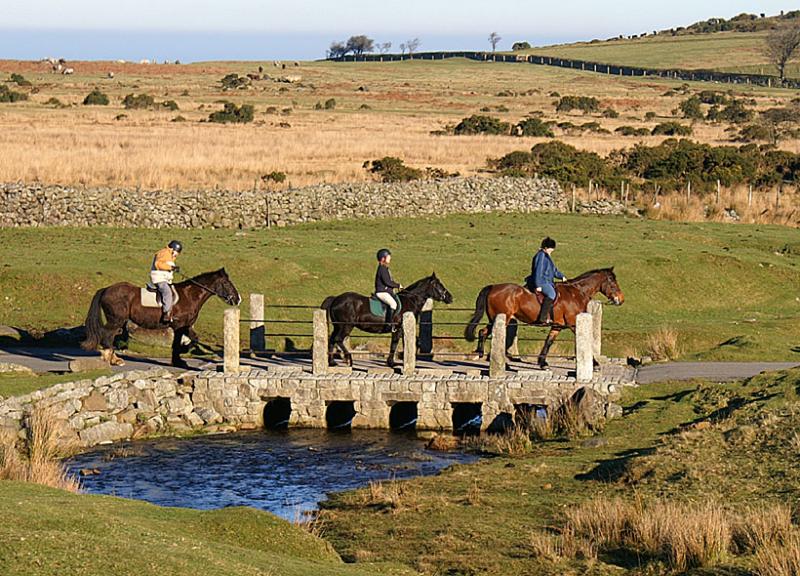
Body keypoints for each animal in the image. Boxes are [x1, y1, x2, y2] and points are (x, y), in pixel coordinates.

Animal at [83, 268, 244, 366]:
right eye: (226, 283)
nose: (238, 299)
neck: (189, 296)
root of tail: (106, 289)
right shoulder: (179, 326)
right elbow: (179, 343)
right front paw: (180, 357)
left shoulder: (185, 326)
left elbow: (192, 339)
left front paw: (180, 358)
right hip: (115, 320)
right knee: (107, 336)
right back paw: (111, 359)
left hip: (118, 321)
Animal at [320, 274, 456, 364]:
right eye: (439, 285)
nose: (450, 297)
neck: (410, 300)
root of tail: (336, 298)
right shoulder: (399, 328)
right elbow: (395, 344)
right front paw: (391, 362)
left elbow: (403, 343)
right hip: (346, 326)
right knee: (338, 339)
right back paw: (349, 359)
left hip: (338, 326)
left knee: (332, 340)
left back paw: (332, 362)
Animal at [462, 266, 624, 366]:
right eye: (613, 284)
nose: (621, 300)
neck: (576, 293)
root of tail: (493, 287)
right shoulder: (574, 324)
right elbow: (587, 341)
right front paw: (595, 363)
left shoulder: (557, 326)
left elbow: (548, 342)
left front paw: (542, 362)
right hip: (502, 318)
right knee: (484, 332)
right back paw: (481, 353)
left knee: (483, 332)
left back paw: (482, 354)